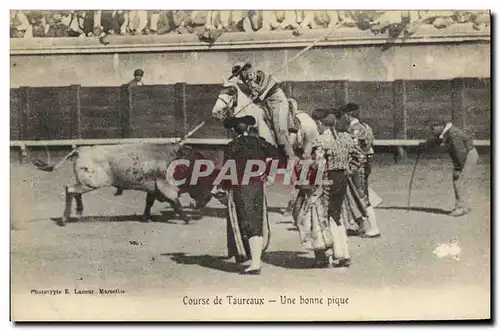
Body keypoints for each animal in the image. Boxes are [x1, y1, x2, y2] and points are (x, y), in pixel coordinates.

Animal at [32, 144, 217, 227]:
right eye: (206, 180)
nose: (205, 201)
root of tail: (81, 150)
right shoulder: (166, 186)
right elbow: (176, 203)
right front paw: (187, 219)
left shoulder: (152, 187)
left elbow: (149, 203)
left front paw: (146, 217)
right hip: (92, 183)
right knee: (70, 189)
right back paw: (65, 218)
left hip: (86, 183)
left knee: (74, 190)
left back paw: (78, 211)